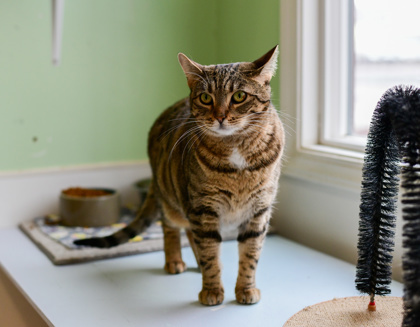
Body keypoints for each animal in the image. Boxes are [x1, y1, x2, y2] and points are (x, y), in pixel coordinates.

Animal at [74, 46, 286, 308]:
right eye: (205, 98)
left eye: (239, 96)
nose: (220, 116)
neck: (235, 150)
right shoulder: (203, 207)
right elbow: (209, 253)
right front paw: (212, 290)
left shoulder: (259, 210)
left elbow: (250, 254)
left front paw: (246, 289)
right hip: (174, 201)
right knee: (173, 228)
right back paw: (175, 261)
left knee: (190, 234)